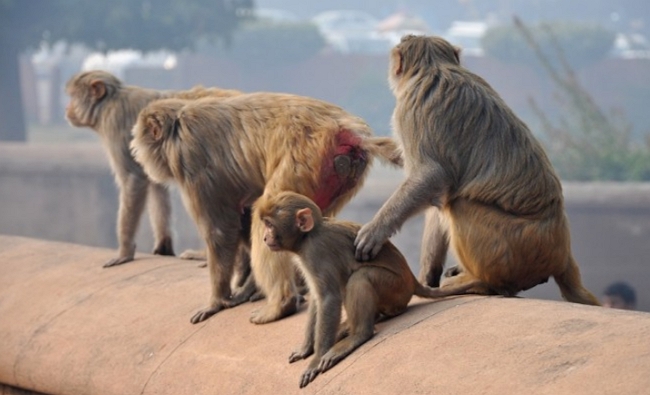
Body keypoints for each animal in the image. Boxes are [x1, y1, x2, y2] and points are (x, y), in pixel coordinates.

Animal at [64, 71, 240, 270]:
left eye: (73, 96)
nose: (67, 108)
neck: (109, 102)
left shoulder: (114, 124)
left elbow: (133, 179)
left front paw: (124, 252)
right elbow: (155, 184)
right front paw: (164, 246)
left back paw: (206, 254)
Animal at [258, 193, 476, 390]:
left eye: (269, 224)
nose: (265, 238)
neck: (307, 236)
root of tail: (412, 280)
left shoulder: (315, 251)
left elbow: (328, 298)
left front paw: (316, 359)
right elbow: (317, 299)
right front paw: (306, 348)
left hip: (396, 288)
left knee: (360, 276)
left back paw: (358, 335)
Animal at [352, 34, 600, 306]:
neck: (434, 66)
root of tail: (562, 254)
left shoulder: (411, 107)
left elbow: (431, 176)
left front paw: (375, 231)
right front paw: (361, 140)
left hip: (515, 248)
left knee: (458, 204)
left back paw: (484, 283)